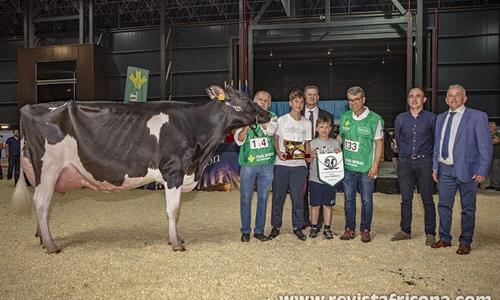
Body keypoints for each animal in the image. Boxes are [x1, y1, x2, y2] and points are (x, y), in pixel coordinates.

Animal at [11, 84, 270, 253]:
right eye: (245, 98)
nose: (267, 113)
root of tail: (29, 108)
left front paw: (177, 239)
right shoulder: (173, 171)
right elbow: (173, 210)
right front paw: (176, 243)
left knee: (41, 203)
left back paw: (43, 239)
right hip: (48, 168)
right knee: (42, 203)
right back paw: (51, 245)